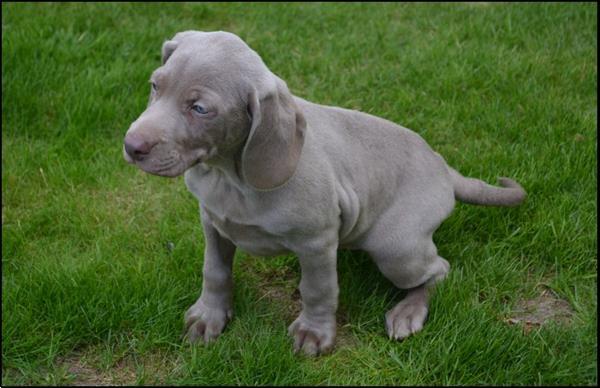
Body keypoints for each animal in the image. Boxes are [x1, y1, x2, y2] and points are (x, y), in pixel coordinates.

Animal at [122, 30, 524, 356]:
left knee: (439, 270)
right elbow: (215, 270)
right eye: (155, 85)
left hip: (396, 247)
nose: (131, 146)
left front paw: (314, 333)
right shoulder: (212, 222)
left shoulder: (315, 242)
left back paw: (408, 312)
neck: (229, 177)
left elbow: (317, 288)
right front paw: (210, 316)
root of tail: (444, 167)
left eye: (200, 108)